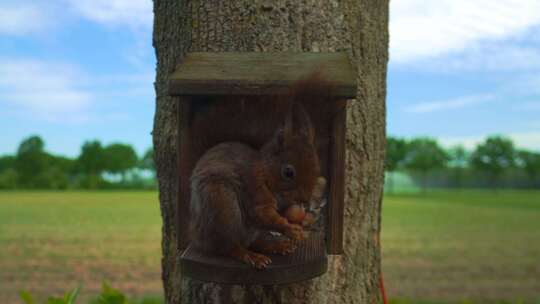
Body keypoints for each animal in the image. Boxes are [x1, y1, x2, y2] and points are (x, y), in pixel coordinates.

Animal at [190, 73, 334, 268]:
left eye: (316, 168)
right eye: (288, 172)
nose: (304, 200)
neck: (266, 174)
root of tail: (197, 233)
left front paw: (300, 222)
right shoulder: (254, 188)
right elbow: (263, 215)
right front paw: (291, 229)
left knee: (252, 242)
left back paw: (275, 246)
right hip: (222, 206)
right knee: (228, 246)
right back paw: (250, 256)